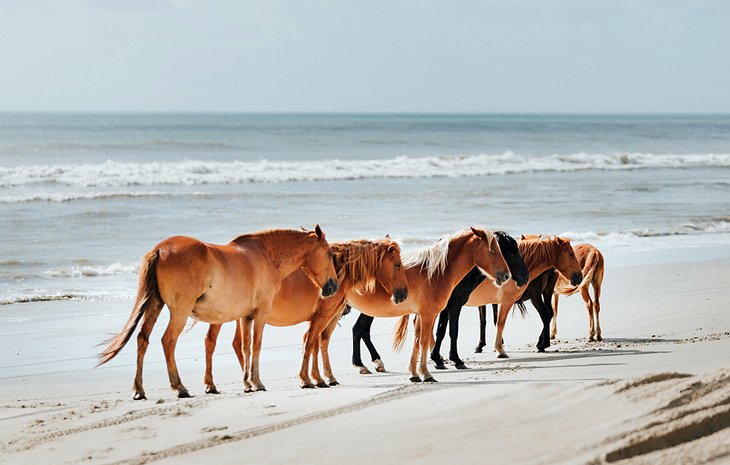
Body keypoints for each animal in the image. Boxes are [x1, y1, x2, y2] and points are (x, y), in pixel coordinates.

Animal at [96, 226, 338, 398]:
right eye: (328, 253)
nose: (333, 286)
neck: (265, 256)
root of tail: (160, 249)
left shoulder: (245, 316)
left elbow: (245, 347)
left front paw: (247, 383)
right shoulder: (260, 314)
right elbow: (256, 345)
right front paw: (257, 382)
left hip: (155, 304)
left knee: (142, 339)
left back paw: (139, 390)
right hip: (179, 312)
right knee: (168, 341)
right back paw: (179, 387)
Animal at [199, 237, 406, 390]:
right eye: (397, 265)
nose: (403, 293)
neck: (337, 270)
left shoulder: (326, 315)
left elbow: (318, 343)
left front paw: (324, 378)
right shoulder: (322, 315)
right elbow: (311, 343)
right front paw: (308, 379)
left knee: (236, 344)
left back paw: (246, 380)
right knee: (212, 342)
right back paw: (218, 383)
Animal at [350, 230, 528, 372]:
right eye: (509, 252)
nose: (524, 278)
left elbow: (439, 331)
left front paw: (439, 358)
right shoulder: (452, 305)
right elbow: (448, 331)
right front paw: (449, 359)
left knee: (361, 330)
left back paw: (373, 363)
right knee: (359, 330)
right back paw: (366, 363)